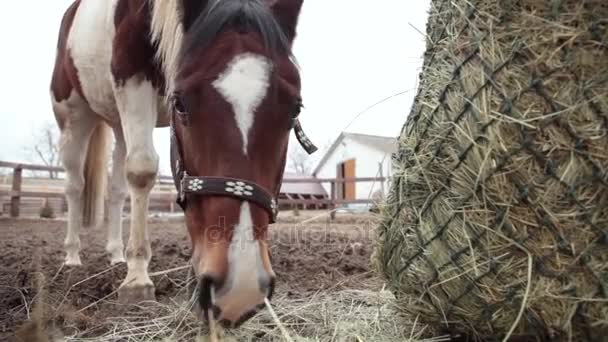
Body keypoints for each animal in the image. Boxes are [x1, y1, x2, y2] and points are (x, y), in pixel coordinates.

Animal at [50, 0, 316, 328]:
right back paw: (72, 256)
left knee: (116, 191)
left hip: (118, 124)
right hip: (74, 114)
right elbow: (142, 170)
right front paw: (137, 280)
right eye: (180, 103)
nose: (241, 287)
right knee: (75, 186)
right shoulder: (132, 75)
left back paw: (116, 254)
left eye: (295, 108)